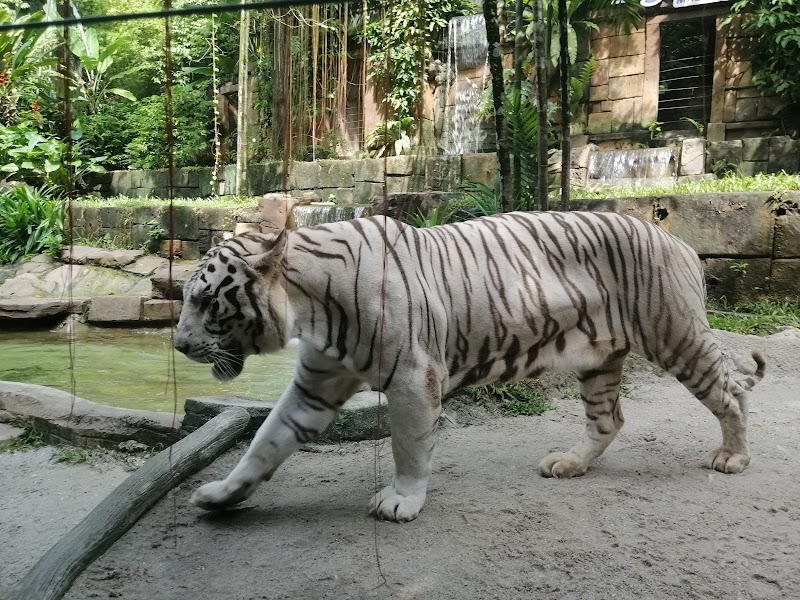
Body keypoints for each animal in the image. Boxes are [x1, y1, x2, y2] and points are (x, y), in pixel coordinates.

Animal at [173, 211, 764, 520]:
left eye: (203, 301)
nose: (177, 344)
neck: (309, 309)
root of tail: (676, 238)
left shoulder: (414, 377)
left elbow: (408, 445)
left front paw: (402, 500)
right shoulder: (315, 383)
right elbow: (265, 441)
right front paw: (223, 495)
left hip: (675, 335)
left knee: (731, 392)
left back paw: (733, 457)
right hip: (600, 360)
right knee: (610, 419)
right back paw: (570, 464)